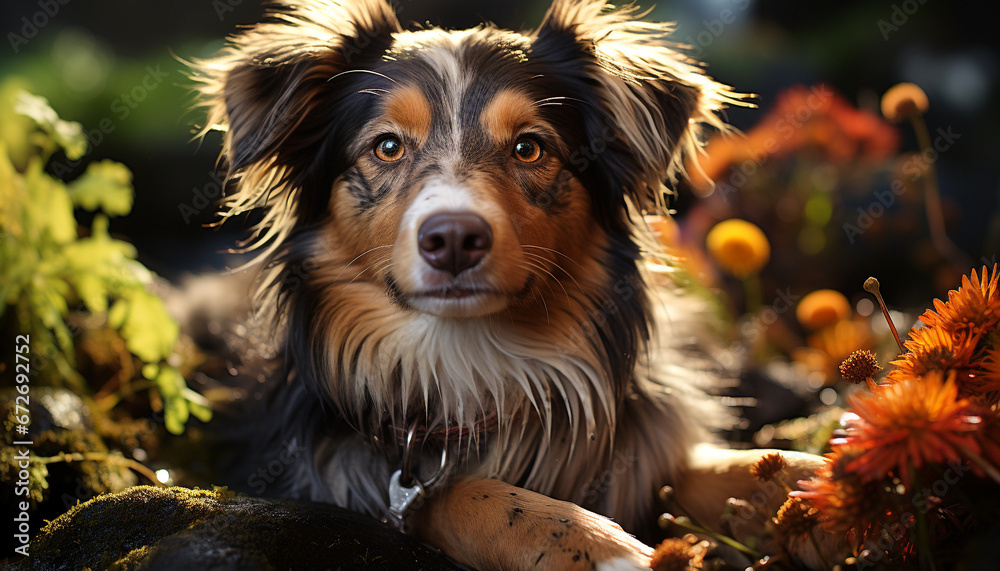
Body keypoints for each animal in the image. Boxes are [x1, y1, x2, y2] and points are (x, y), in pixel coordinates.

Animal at [193, 2, 828, 568]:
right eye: (388, 146)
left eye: (529, 147)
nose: (452, 238)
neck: (468, 361)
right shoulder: (362, 482)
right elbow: (472, 493)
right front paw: (601, 548)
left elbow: (727, 464)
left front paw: (821, 481)